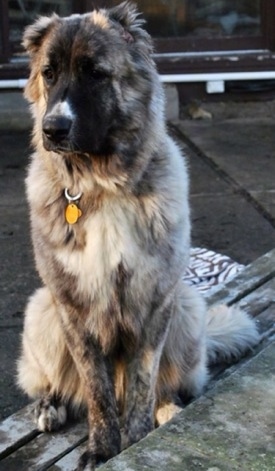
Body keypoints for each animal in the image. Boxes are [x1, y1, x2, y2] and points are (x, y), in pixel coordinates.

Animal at [17, 2, 260, 468]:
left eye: (95, 73)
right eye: (48, 73)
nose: (52, 129)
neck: (100, 185)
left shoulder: (155, 300)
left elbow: (143, 384)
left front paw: (137, 438)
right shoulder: (73, 308)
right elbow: (97, 391)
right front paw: (102, 447)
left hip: (186, 308)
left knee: (166, 383)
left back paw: (169, 408)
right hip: (42, 312)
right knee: (54, 383)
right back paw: (49, 405)